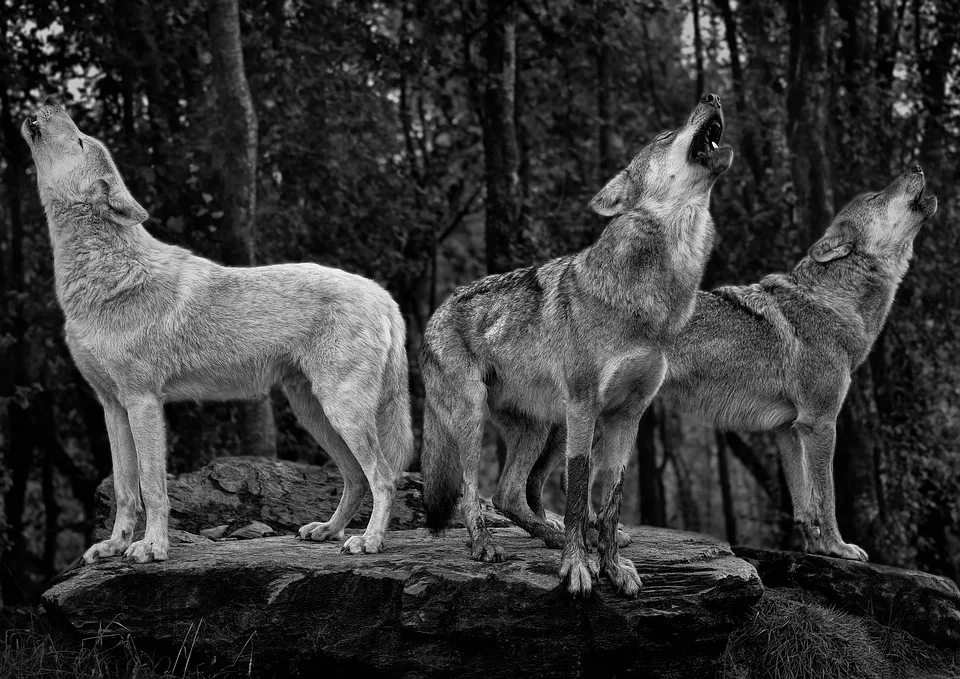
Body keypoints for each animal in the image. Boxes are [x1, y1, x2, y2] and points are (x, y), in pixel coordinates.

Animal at [22, 95, 412, 564]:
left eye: (80, 140)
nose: (50, 100)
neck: (105, 275)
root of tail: (383, 295)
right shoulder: (111, 407)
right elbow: (125, 490)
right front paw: (115, 545)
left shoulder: (143, 403)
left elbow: (152, 487)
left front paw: (152, 548)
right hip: (314, 414)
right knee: (355, 477)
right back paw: (328, 531)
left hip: (342, 411)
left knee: (383, 476)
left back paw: (369, 541)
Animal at [422, 94, 736, 596]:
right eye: (665, 135)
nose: (711, 97)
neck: (652, 300)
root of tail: (436, 311)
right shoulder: (586, 405)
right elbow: (577, 491)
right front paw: (577, 566)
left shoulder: (629, 415)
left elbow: (609, 497)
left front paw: (611, 565)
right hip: (478, 418)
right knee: (474, 492)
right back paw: (485, 545)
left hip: (546, 427)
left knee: (509, 494)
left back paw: (548, 536)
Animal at [520, 165, 932, 564]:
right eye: (877, 196)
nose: (916, 166)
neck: (831, 304)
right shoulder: (820, 423)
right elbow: (825, 498)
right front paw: (838, 547)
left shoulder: (788, 429)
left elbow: (803, 502)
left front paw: (815, 546)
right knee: (562, 479)